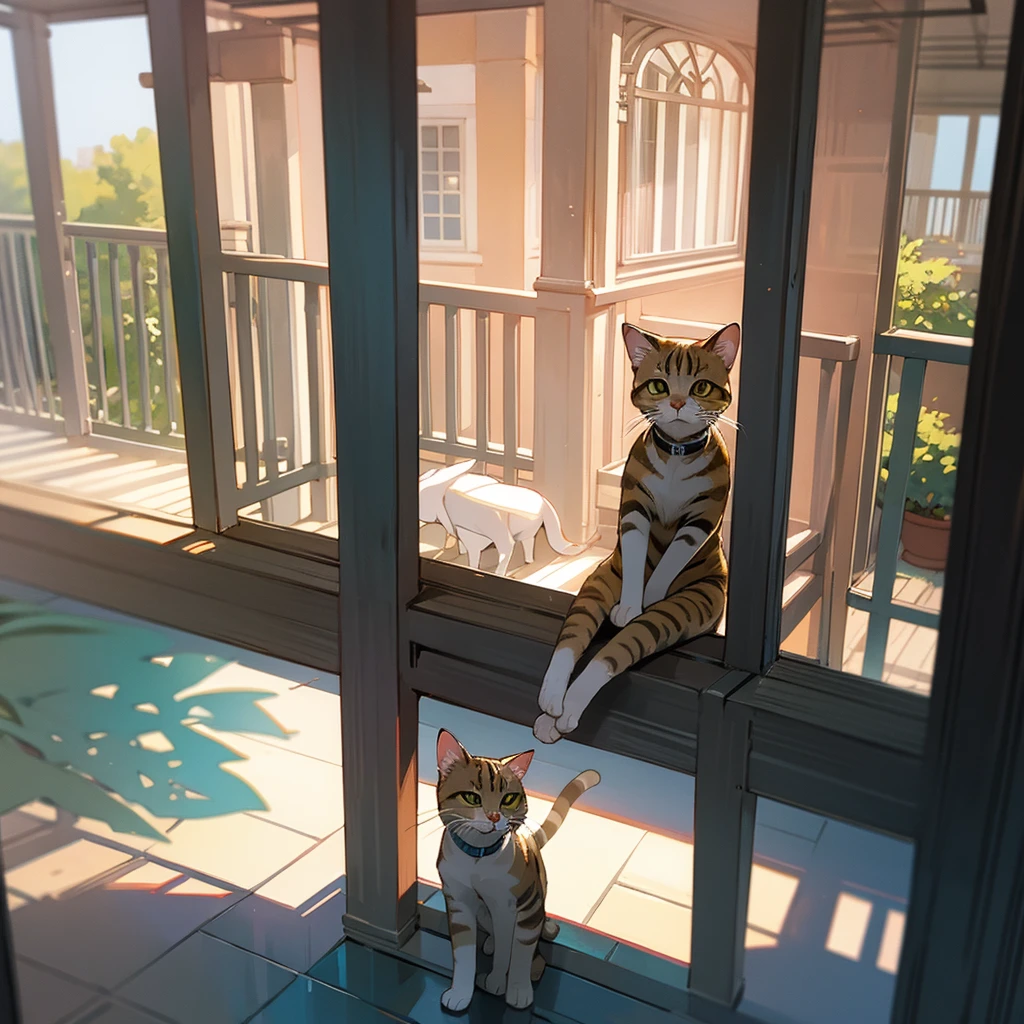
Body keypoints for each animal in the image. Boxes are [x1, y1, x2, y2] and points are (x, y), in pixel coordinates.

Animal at [434, 729, 598, 1007]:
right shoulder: (458, 903)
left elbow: (519, 954)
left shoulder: (526, 907)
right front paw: (461, 994)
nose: (494, 817)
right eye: (472, 797)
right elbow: (464, 954)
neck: (478, 859)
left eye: (508, 799)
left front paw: (518, 991)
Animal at [532, 319, 741, 745]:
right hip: (598, 583)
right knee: (573, 636)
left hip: (684, 607)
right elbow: (633, 545)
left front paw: (647, 595)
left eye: (700, 387)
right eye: (659, 385)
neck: (677, 454)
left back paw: (568, 710)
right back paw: (551, 705)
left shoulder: (702, 517)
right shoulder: (633, 507)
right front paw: (630, 601)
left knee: (615, 651)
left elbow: (673, 557)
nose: (676, 403)